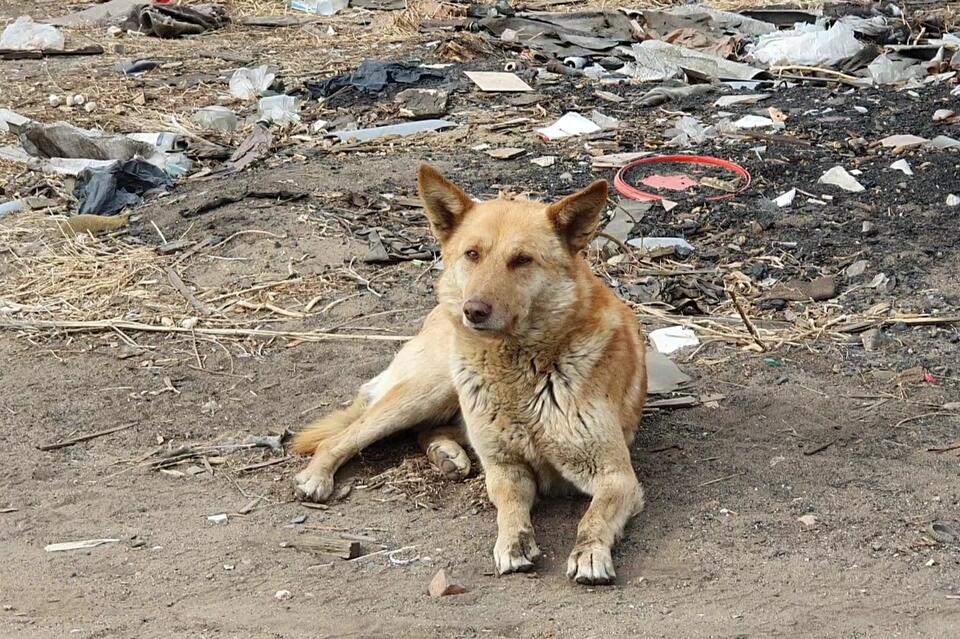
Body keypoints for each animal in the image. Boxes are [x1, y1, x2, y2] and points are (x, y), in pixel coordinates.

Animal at [292, 165, 644, 584]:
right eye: (472, 254)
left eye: (522, 260)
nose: (473, 311)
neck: (521, 369)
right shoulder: (505, 469)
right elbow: (510, 508)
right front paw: (513, 541)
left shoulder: (616, 476)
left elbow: (593, 517)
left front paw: (589, 552)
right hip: (431, 389)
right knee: (346, 436)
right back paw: (317, 476)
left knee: (427, 431)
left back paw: (446, 454)